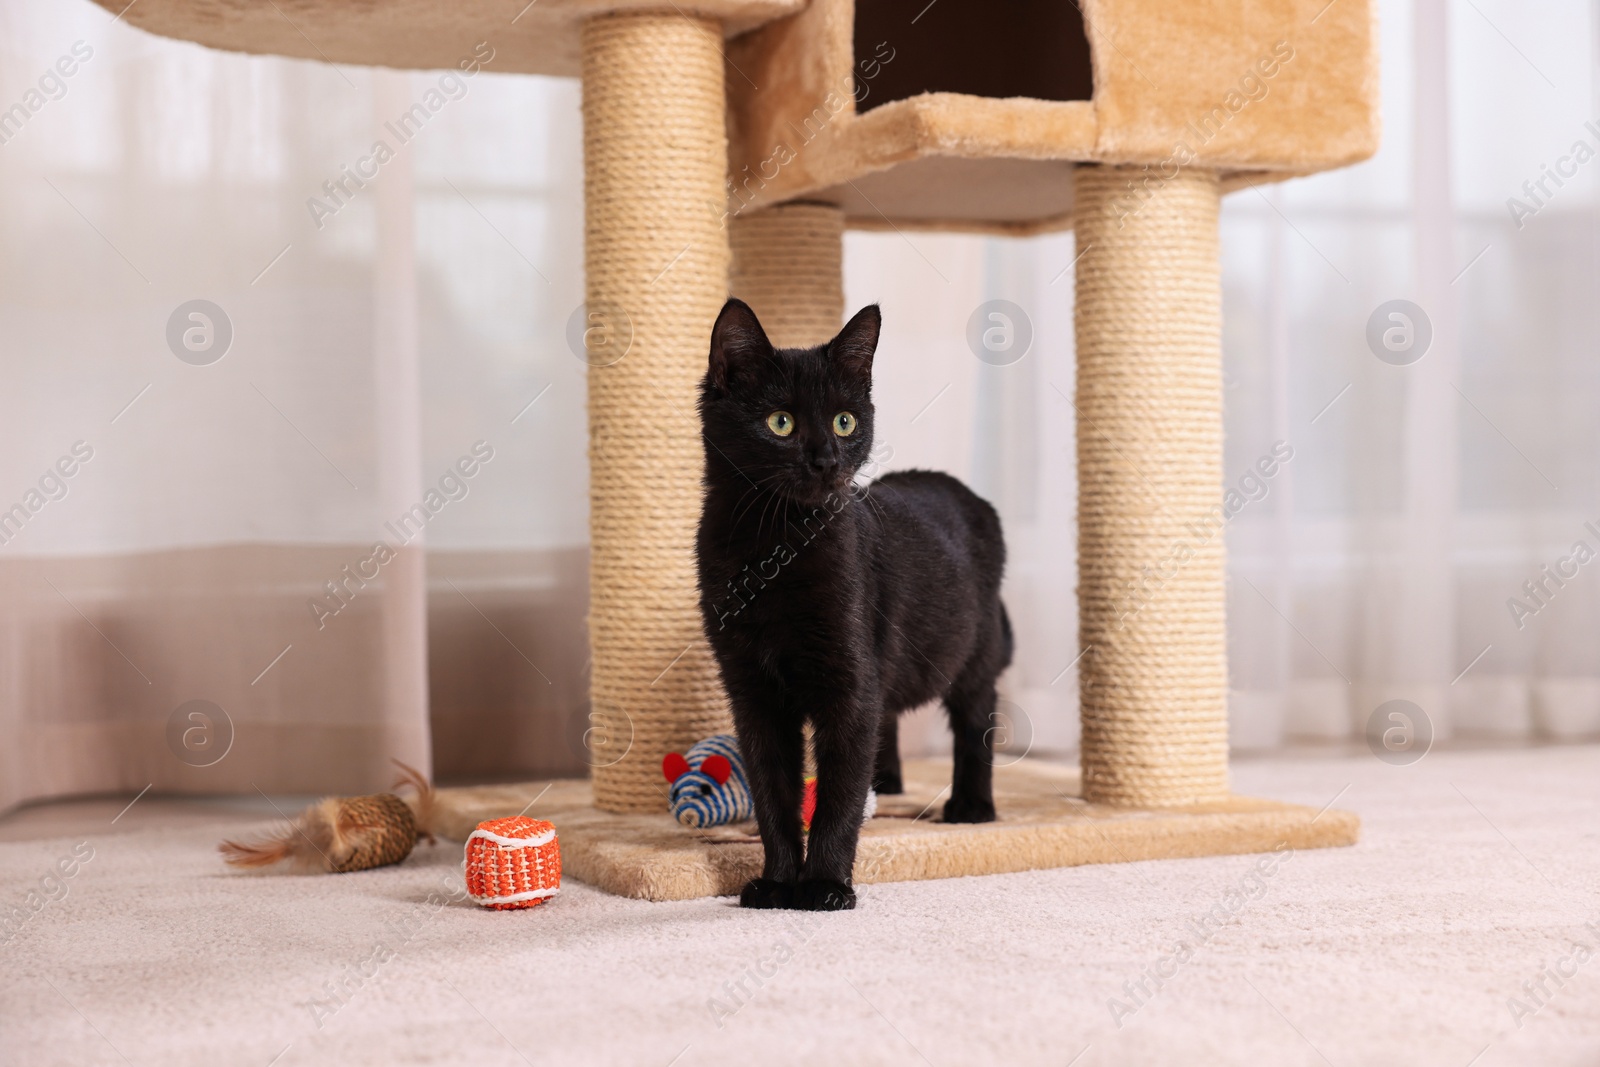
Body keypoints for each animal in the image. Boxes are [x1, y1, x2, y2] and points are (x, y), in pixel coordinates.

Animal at [697, 295, 1011, 915]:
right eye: (781, 422)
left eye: (845, 421)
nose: (825, 460)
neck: (773, 544)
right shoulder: (752, 693)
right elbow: (773, 792)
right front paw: (777, 882)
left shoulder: (848, 677)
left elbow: (839, 792)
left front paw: (824, 885)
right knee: (884, 720)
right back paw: (886, 782)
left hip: (974, 653)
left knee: (974, 720)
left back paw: (970, 806)